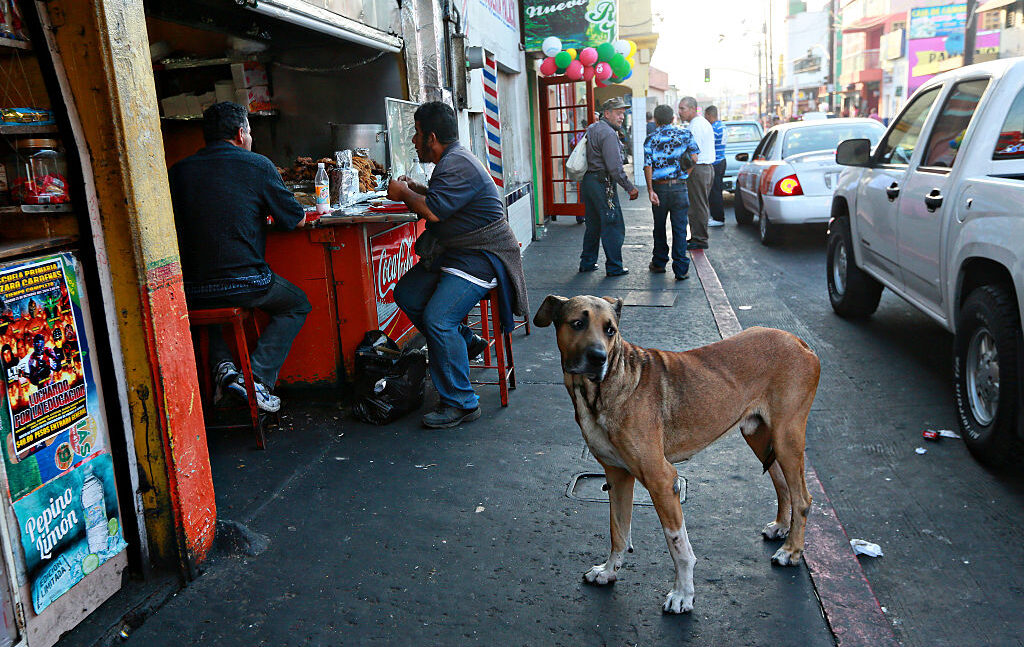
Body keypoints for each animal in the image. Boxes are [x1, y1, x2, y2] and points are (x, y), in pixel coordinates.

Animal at [532, 294, 819, 614]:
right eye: (577, 323)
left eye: (610, 330)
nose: (598, 358)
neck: (602, 389)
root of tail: (798, 340)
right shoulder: (617, 476)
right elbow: (618, 531)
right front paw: (608, 571)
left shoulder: (661, 480)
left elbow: (678, 546)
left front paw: (683, 594)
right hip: (758, 435)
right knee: (782, 484)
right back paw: (781, 527)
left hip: (786, 437)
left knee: (802, 497)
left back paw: (791, 550)